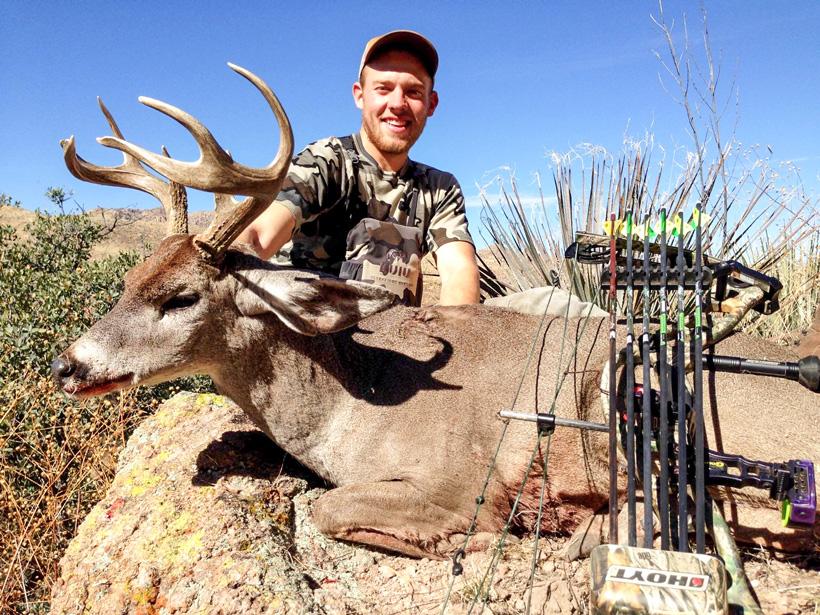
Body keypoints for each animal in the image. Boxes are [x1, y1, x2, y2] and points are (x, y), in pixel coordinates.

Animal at [52, 64, 818, 560]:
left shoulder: (452, 478)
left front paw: (468, 538)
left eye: (180, 296)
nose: (68, 366)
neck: (348, 400)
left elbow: (327, 506)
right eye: (129, 280)